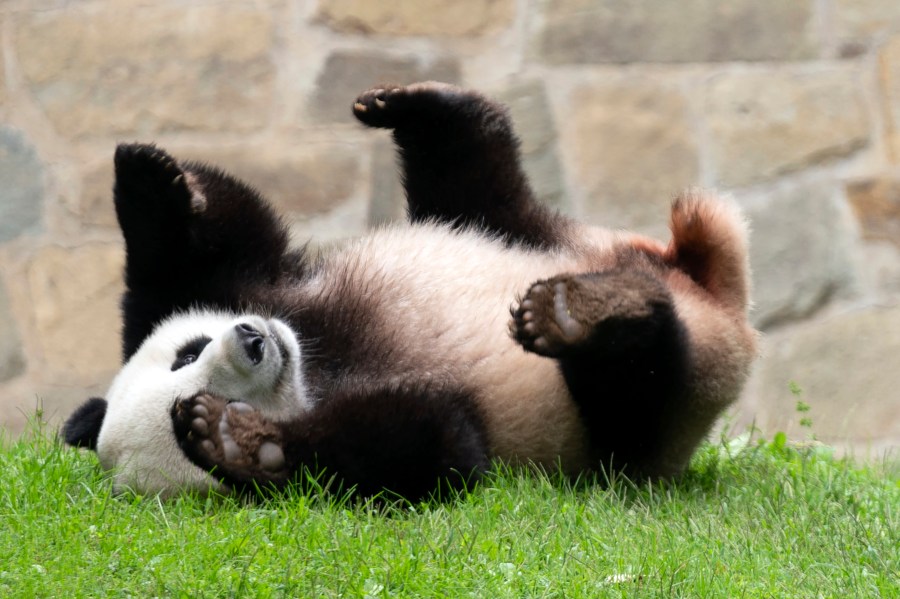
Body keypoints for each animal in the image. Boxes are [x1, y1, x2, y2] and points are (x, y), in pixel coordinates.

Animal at [59, 81, 756, 502]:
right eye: (206, 383)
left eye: (187, 352)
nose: (253, 341)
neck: (317, 362)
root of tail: (717, 298)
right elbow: (435, 447)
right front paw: (239, 442)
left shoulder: (259, 287)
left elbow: (215, 247)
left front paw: (148, 178)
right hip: (642, 424)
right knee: (637, 387)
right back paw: (586, 317)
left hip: (545, 236)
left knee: (479, 184)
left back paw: (419, 108)